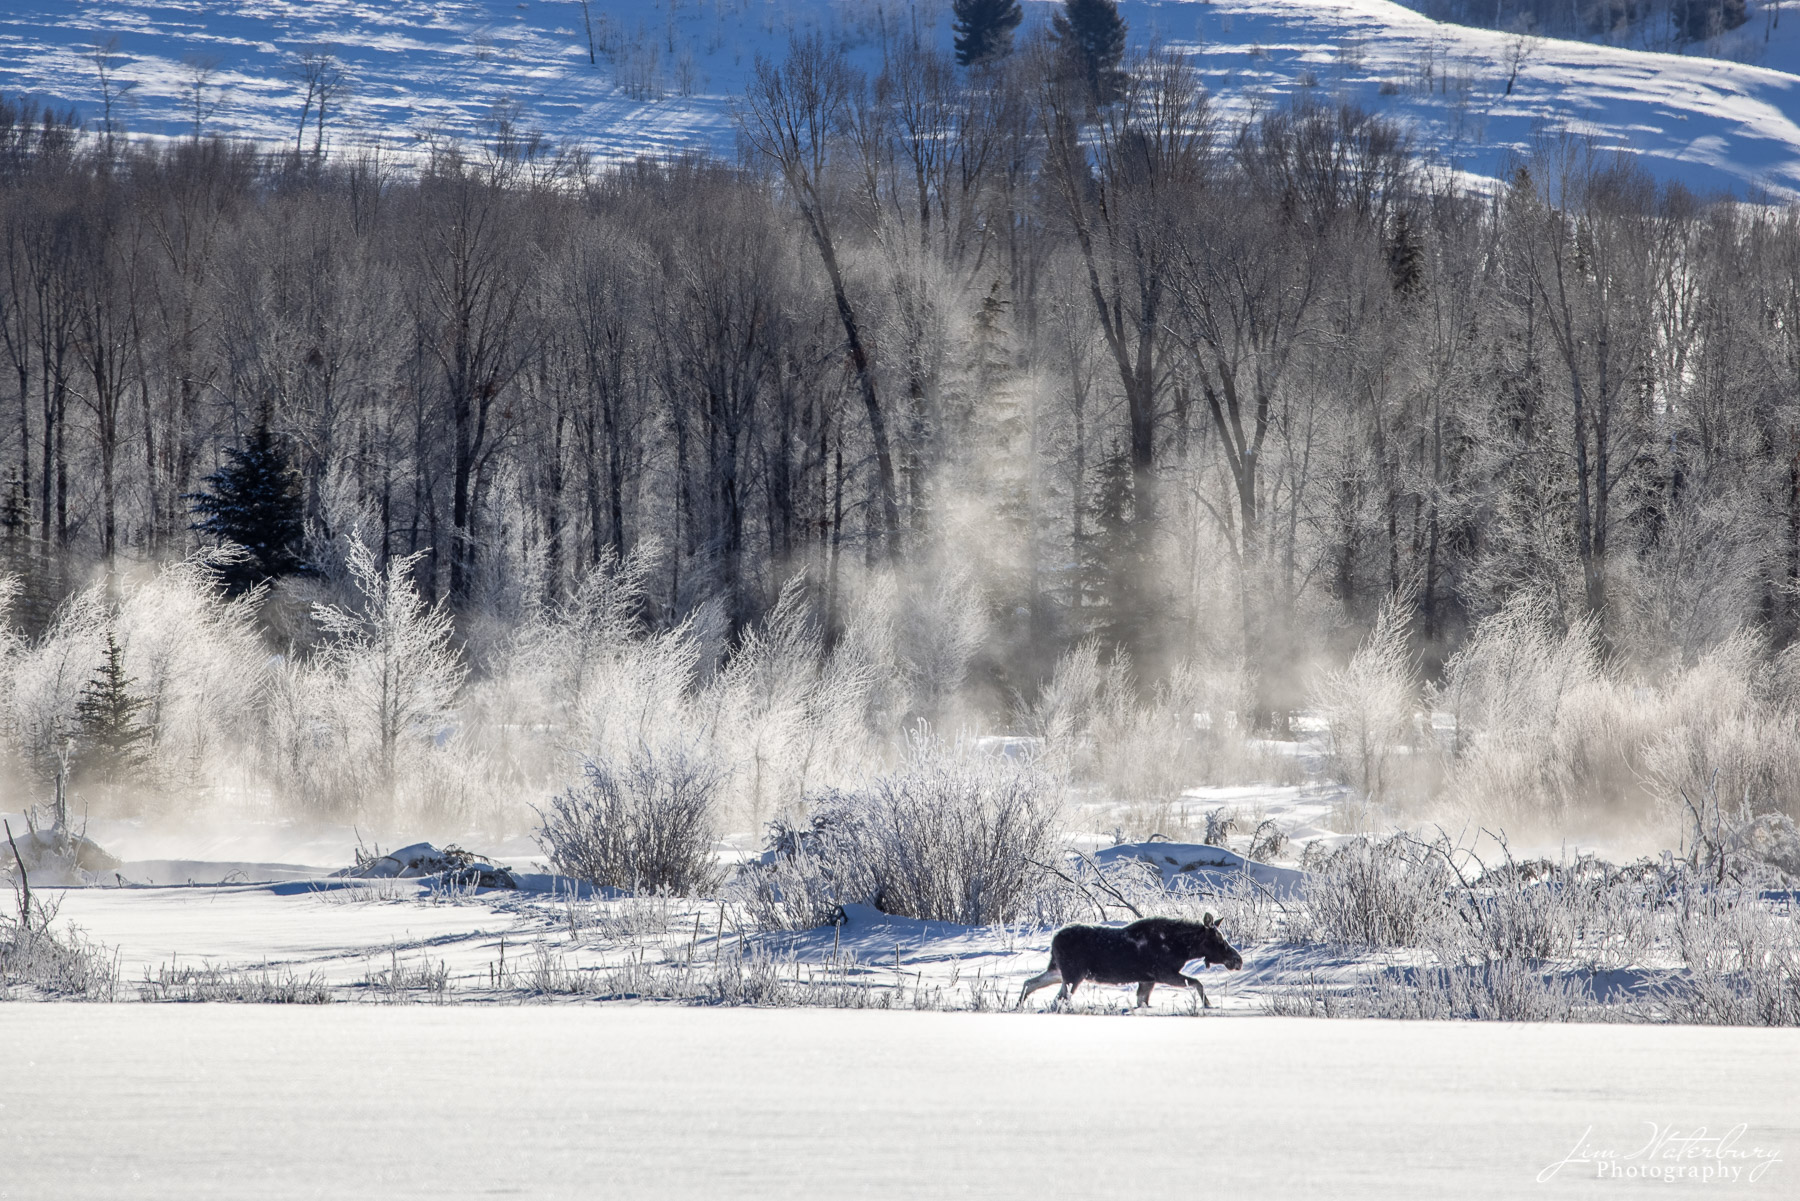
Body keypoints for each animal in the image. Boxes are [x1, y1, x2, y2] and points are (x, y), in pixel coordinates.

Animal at [1022, 914, 1245, 1008]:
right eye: (1219, 940)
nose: (1238, 960)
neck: (1183, 948)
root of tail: (1054, 939)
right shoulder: (1163, 973)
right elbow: (1198, 983)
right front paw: (1208, 1004)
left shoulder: (1147, 979)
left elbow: (1142, 1002)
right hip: (1073, 975)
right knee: (1058, 999)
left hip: (1057, 971)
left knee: (1029, 983)